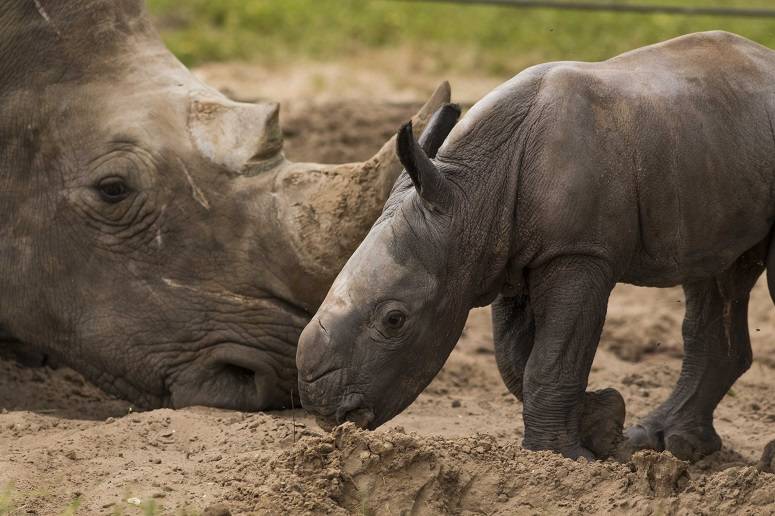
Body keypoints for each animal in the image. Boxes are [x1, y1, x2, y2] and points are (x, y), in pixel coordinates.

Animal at [298, 31, 775, 460]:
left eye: (394, 320)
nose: (321, 405)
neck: (469, 197)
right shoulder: (503, 254)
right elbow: (515, 361)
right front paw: (604, 426)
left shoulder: (578, 251)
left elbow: (550, 360)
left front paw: (561, 458)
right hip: (710, 156)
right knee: (715, 277)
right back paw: (668, 444)